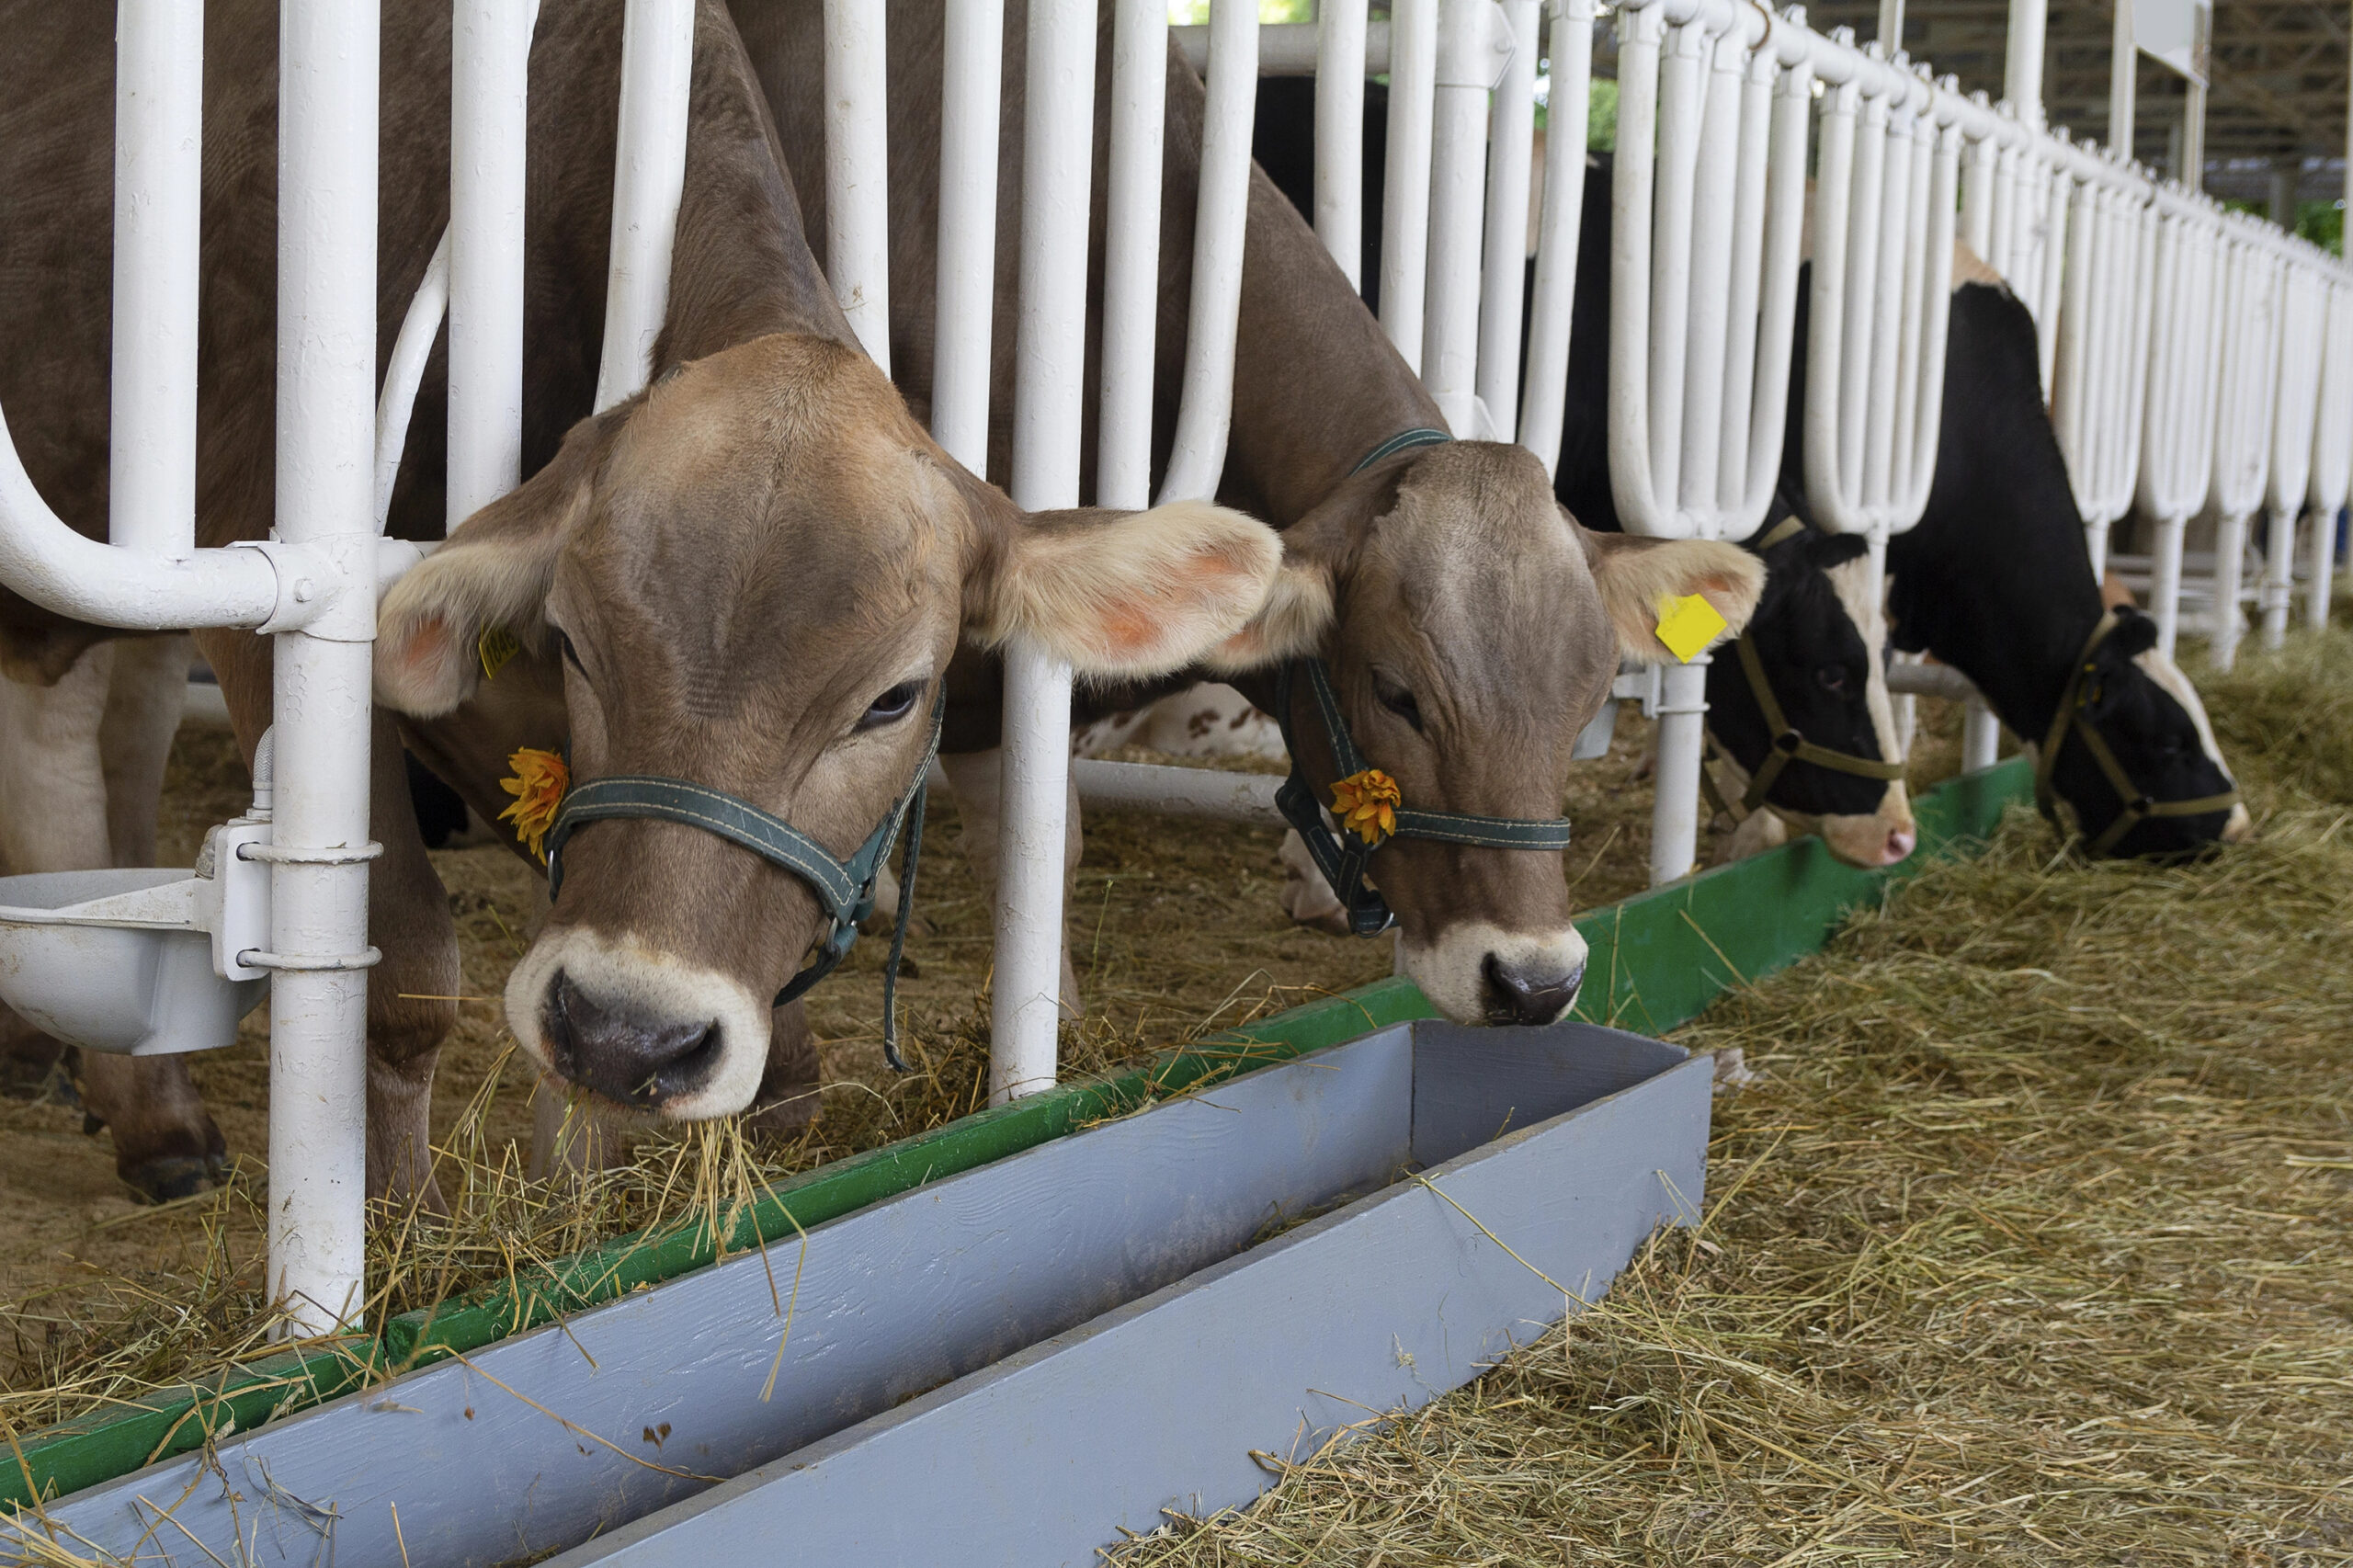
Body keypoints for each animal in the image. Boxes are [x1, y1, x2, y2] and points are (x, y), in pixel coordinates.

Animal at [2, 0, 1286, 1205]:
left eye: (894, 699)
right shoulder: (269, 560)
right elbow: (408, 971)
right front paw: (403, 1227)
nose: (628, 1033)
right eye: (573, 641)